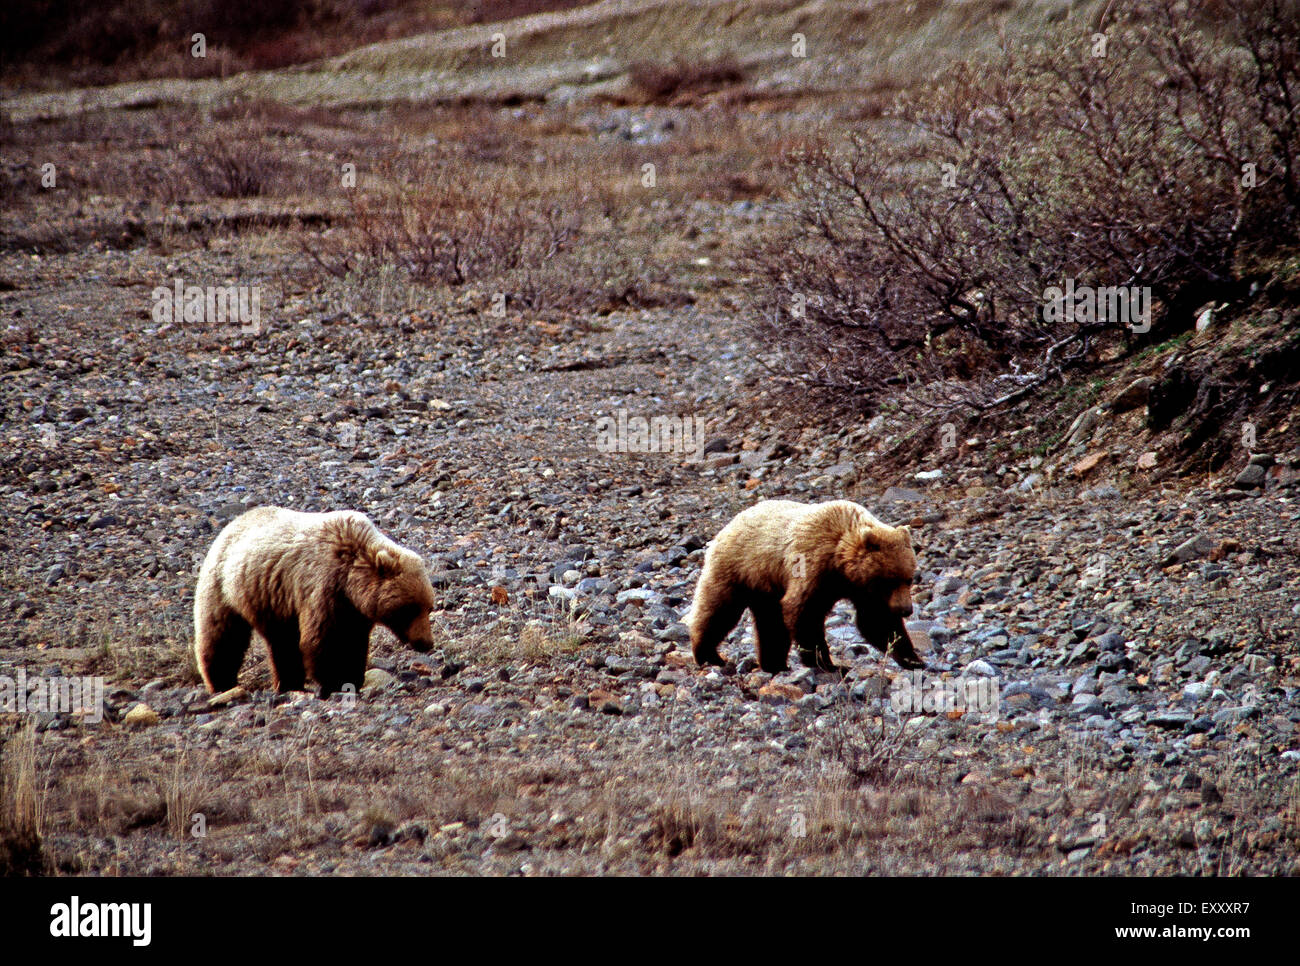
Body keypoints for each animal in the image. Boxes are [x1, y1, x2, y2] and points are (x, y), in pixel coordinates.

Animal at [192, 507, 436, 696]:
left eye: (429, 608)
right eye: (409, 609)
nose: (426, 643)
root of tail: (232, 524)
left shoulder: (354, 609)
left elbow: (353, 641)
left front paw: (353, 677)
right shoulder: (325, 589)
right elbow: (326, 640)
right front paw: (336, 681)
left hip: (274, 602)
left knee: (282, 643)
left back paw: (288, 683)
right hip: (225, 585)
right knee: (221, 635)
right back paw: (221, 683)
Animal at [691, 499, 925, 670]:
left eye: (909, 578)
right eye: (889, 580)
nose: (905, 609)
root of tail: (728, 525)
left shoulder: (861, 588)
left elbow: (877, 620)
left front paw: (913, 659)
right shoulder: (812, 565)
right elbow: (804, 612)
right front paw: (827, 663)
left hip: (765, 587)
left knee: (770, 623)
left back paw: (774, 664)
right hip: (738, 569)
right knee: (719, 609)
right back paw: (709, 655)